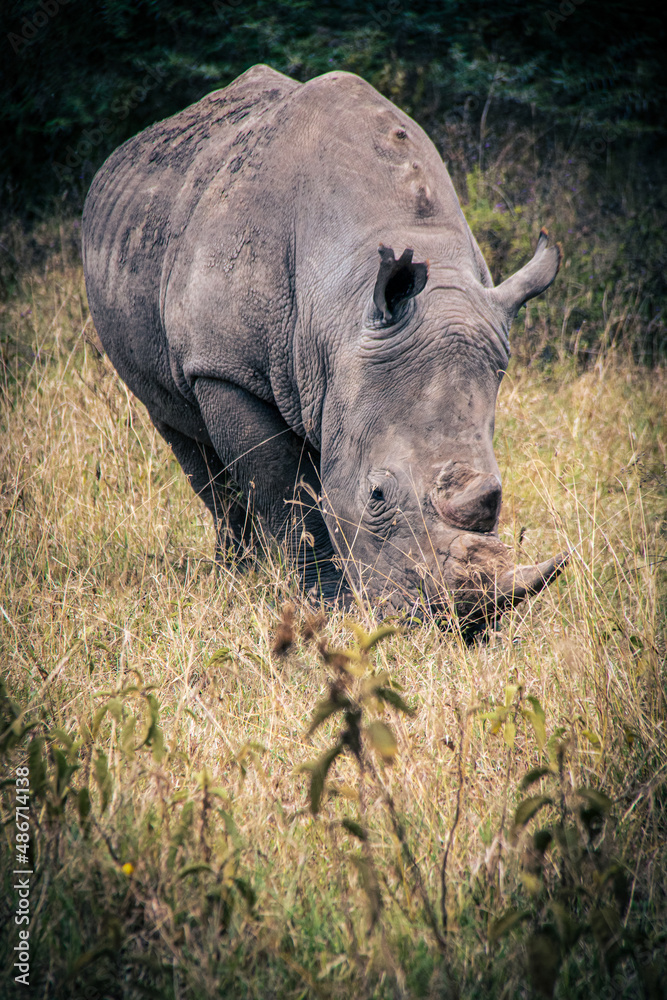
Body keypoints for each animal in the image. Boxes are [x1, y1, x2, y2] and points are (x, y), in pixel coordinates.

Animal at [82, 63, 567, 631]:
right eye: (376, 495)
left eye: (497, 492)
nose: (459, 626)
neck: (340, 312)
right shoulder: (225, 369)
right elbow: (289, 495)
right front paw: (327, 607)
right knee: (190, 445)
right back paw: (236, 574)